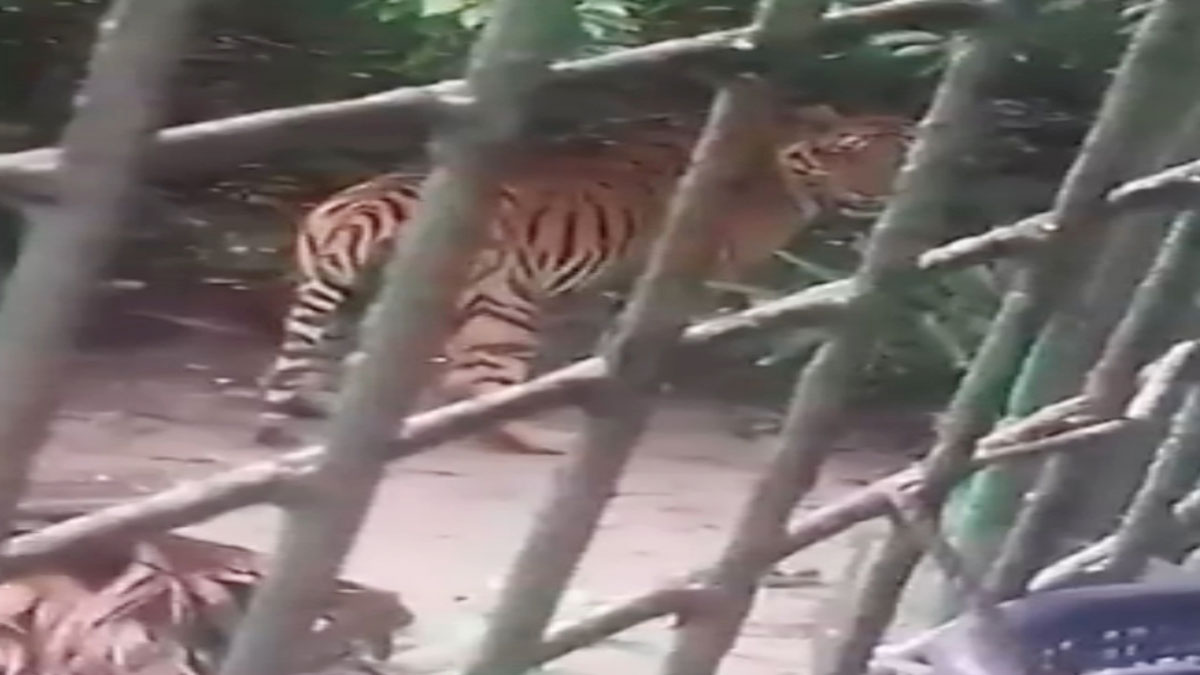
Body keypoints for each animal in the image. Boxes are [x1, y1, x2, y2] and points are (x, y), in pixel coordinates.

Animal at [255, 103, 913, 454]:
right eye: (848, 151)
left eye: (899, 158)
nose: (873, 196)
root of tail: (361, 206)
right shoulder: (714, 271)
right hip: (504, 305)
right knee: (480, 382)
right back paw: (541, 436)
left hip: (345, 292)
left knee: (323, 357)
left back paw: (320, 404)